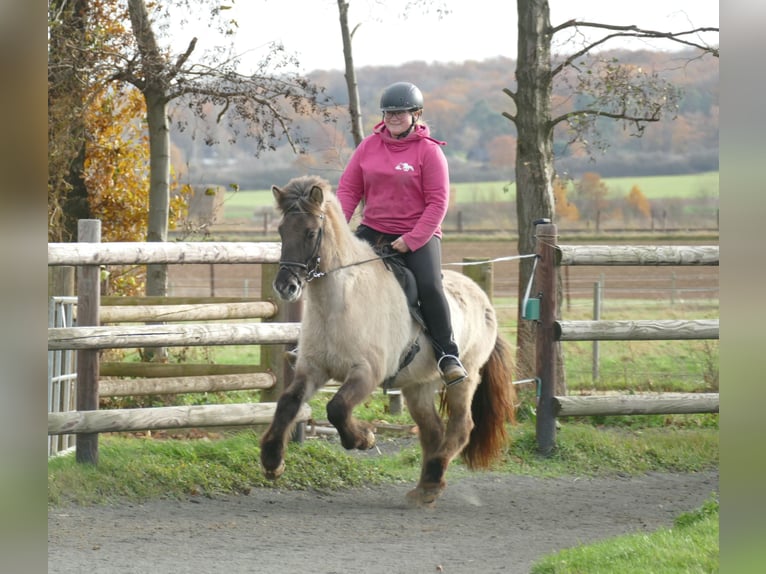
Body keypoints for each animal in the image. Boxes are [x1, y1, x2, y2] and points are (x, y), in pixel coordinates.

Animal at [260, 176, 520, 508]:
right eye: (281, 230)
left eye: (311, 232)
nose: (286, 286)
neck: (340, 301)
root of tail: (482, 297)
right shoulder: (313, 368)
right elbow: (288, 402)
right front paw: (272, 461)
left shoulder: (366, 372)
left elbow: (337, 407)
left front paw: (363, 438)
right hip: (418, 384)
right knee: (432, 430)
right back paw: (425, 488)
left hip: (466, 376)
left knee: (461, 427)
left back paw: (433, 480)